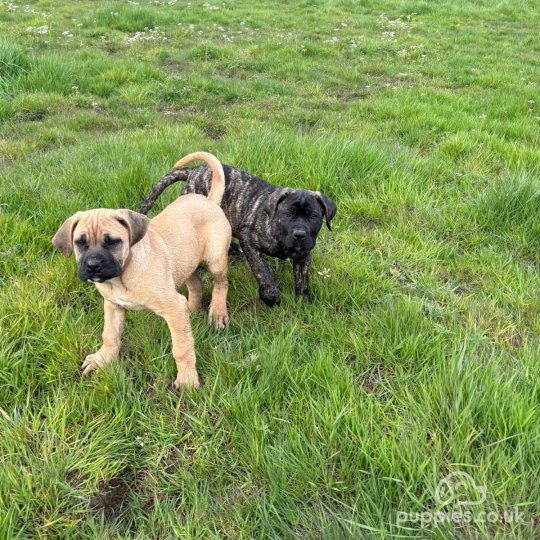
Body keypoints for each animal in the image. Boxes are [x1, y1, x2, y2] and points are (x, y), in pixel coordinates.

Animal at [49, 152, 229, 388]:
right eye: (80, 242)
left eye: (113, 241)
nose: (93, 266)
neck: (121, 278)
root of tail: (208, 201)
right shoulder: (113, 306)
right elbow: (110, 336)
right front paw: (102, 360)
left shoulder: (172, 306)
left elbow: (181, 347)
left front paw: (187, 379)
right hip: (186, 263)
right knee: (195, 285)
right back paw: (192, 310)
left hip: (216, 259)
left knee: (221, 284)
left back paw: (217, 313)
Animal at [139, 161, 336, 304]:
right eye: (287, 214)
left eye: (313, 216)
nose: (300, 234)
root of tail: (194, 171)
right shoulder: (248, 238)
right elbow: (261, 268)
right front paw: (270, 294)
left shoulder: (304, 255)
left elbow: (302, 280)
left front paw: (303, 302)